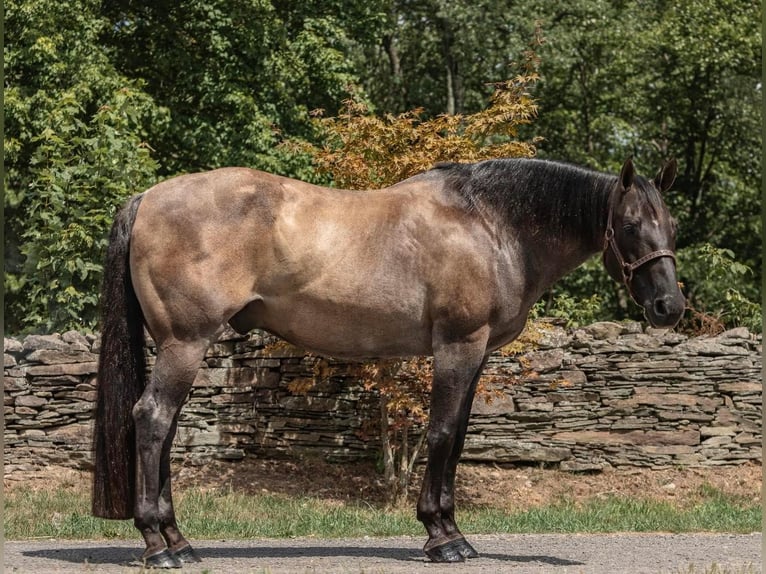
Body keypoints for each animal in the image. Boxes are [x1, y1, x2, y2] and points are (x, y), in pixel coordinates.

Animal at [93, 156, 688, 568]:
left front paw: (449, 527)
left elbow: (458, 437)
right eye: (630, 226)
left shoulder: (476, 353)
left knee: (164, 428)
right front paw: (443, 537)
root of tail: (146, 198)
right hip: (184, 343)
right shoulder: (458, 346)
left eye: (671, 226)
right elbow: (442, 433)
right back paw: (161, 544)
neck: (491, 226)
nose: (670, 307)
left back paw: (176, 540)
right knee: (152, 420)